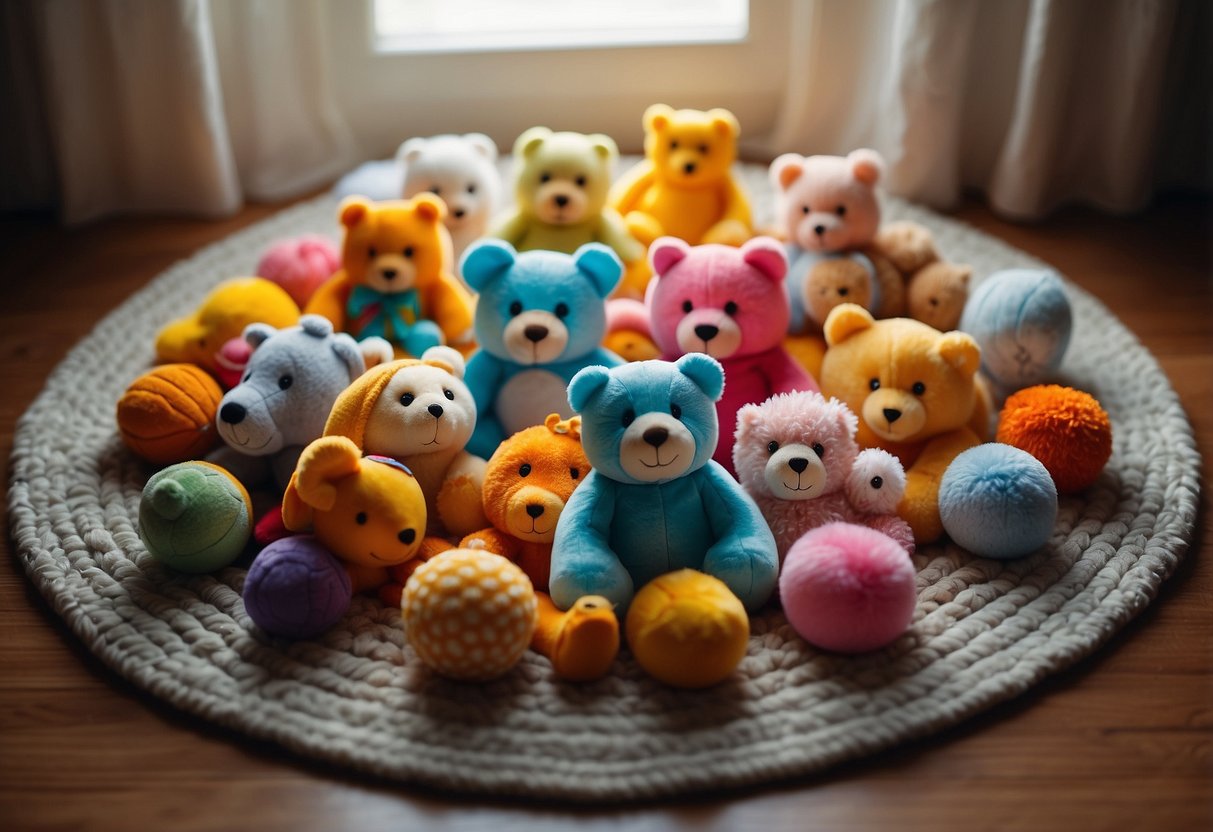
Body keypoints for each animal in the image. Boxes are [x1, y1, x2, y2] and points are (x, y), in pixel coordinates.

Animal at [645, 236, 815, 475]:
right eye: (686, 306)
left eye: (732, 307)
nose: (705, 329)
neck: (724, 361)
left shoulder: (773, 360)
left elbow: (794, 383)